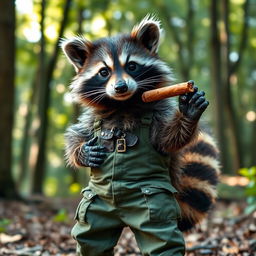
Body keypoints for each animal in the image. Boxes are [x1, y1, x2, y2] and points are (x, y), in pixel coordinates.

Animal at [61, 14, 220, 234]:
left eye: (132, 66)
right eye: (104, 72)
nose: (120, 87)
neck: (124, 104)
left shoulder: (159, 112)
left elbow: (168, 140)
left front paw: (188, 114)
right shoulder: (92, 118)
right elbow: (75, 135)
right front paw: (82, 151)